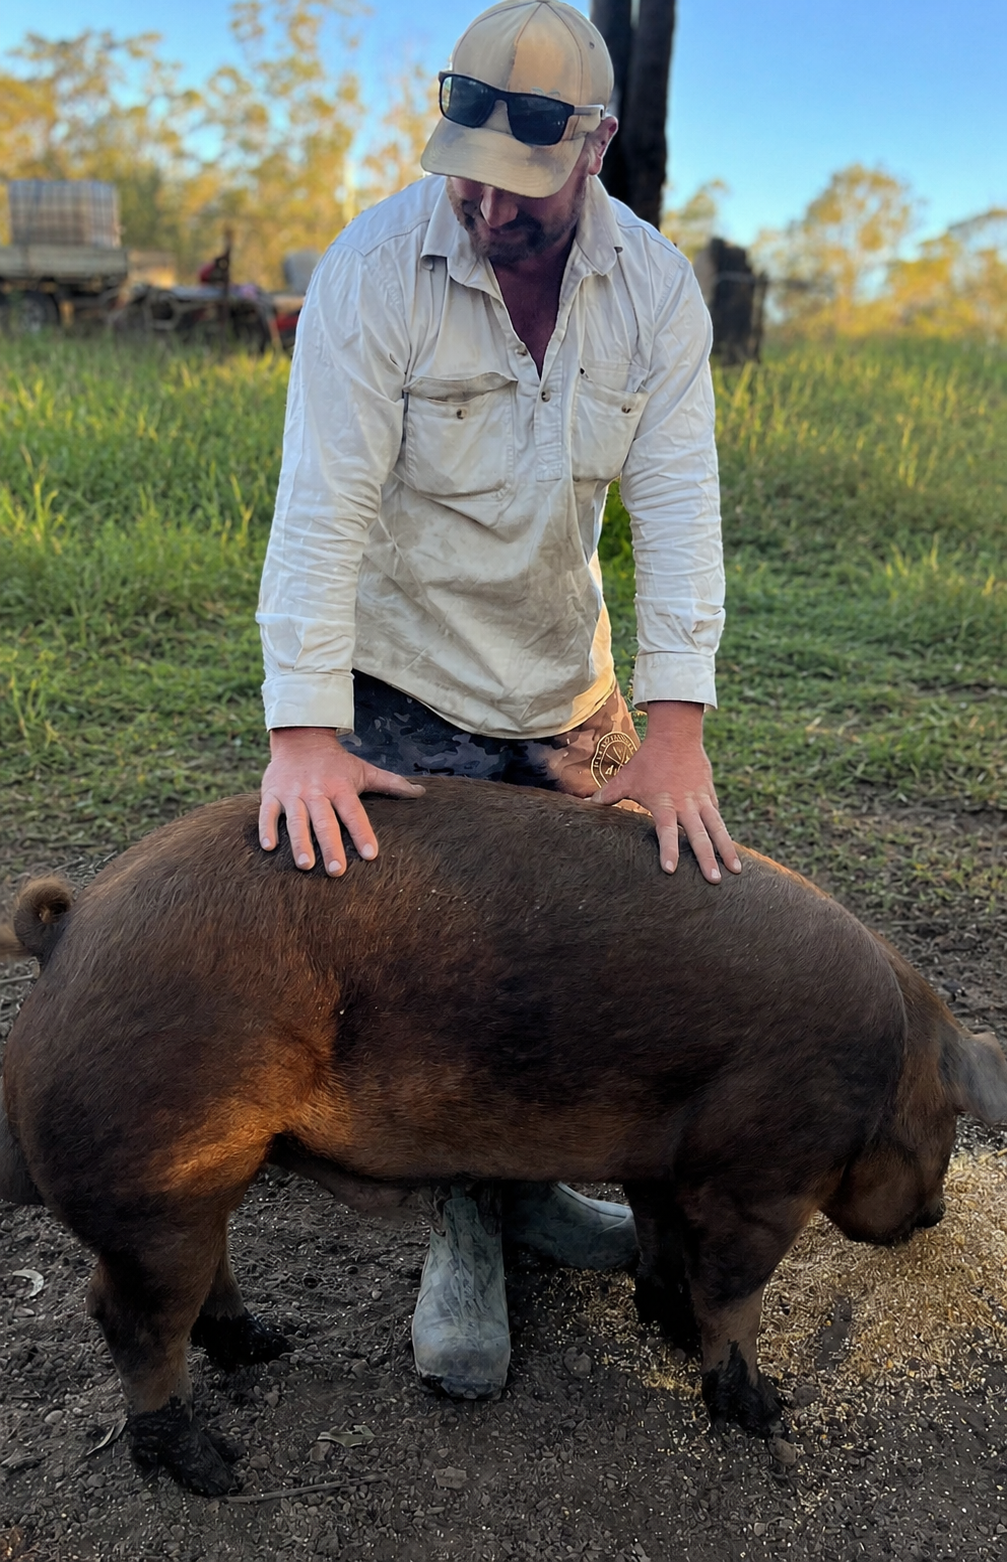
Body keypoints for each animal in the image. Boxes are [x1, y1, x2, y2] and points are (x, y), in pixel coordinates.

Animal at [2, 778, 1005, 1496]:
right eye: (952, 1121)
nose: (933, 1216)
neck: (885, 1064)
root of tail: (71, 932)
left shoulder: (662, 1161)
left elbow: (661, 1244)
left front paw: (666, 1322)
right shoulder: (757, 1180)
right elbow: (733, 1296)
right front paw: (764, 1413)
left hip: (197, 1182)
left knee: (203, 1275)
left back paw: (266, 1346)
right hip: (152, 1179)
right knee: (125, 1315)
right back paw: (212, 1471)